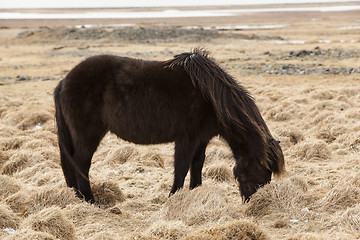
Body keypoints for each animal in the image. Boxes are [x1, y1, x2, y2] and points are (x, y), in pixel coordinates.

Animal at [54, 47, 284, 203]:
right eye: (261, 173)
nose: (252, 205)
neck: (210, 98)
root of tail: (64, 81)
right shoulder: (186, 138)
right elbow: (181, 168)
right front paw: (173, 196)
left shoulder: (201, 139)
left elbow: (197, 165)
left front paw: (195, 192)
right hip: (88, 135)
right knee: (81, 163)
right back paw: (90, 200)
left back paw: (77, 197)